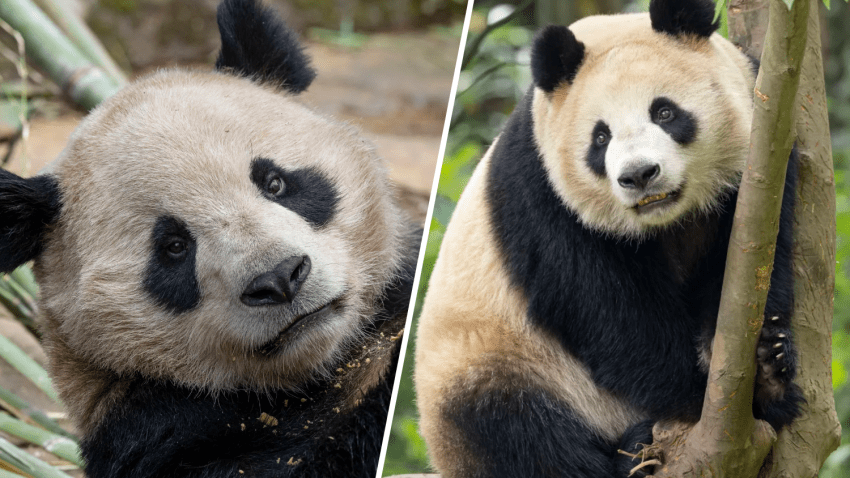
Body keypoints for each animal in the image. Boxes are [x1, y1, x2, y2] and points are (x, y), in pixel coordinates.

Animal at [416, 0, 800, 476]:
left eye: (664, 112)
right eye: (600, 137)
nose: (639, 175)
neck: (666, 221)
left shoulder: (763, 152)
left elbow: (754, 263)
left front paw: (765, 372)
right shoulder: (542, 193)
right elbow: (609, 310)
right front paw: (696, 395)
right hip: (495, 362)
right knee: (516, 434)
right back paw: (631, 454)